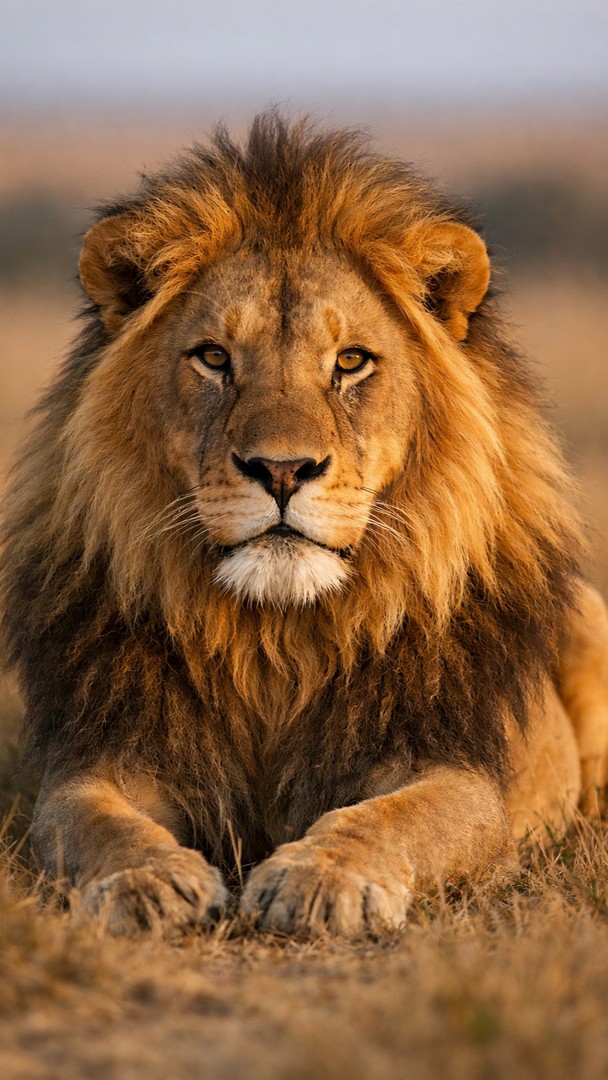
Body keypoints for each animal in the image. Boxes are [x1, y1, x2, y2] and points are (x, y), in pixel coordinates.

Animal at [1, 112, 607, 938]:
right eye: (213, 357)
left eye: (350, 362)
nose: (283, 470)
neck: (277, 642)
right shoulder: (110, 752)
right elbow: (89, 820)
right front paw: (144, 883)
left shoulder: (459, 770)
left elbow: (393, 817)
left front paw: (319, 880)